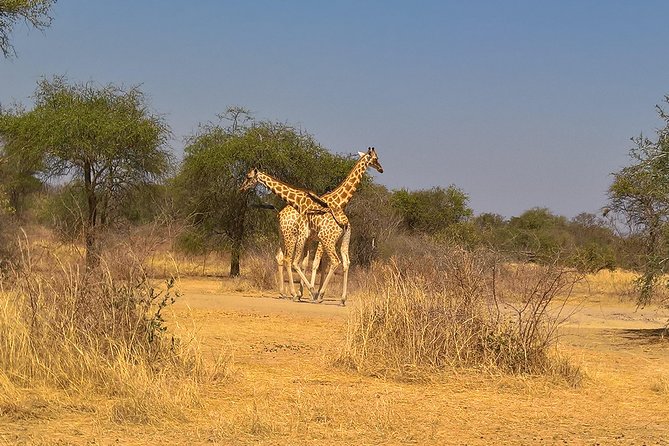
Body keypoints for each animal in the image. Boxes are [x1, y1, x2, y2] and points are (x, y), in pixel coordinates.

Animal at [276, 148, 380, 304]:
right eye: (375, 158)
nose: (381, 169)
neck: (337, 201)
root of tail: (280, 214)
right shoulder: (321, 240)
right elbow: (316, 264)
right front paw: (313, 294)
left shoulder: (319, 239)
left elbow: (317, 264)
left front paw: (313, 293)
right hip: (291, 236)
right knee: (288, 259)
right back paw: (293, 293)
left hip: (284, 237)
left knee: (281, 257)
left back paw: (285, 293)